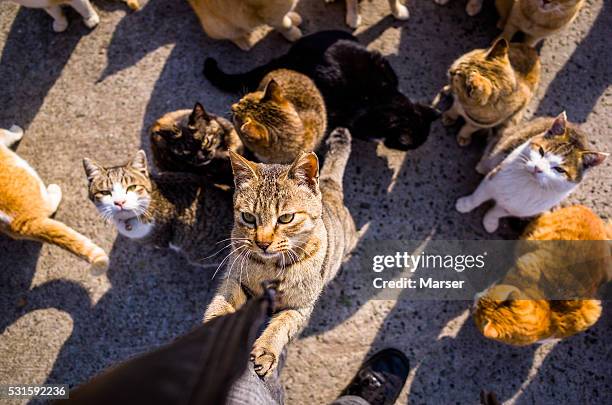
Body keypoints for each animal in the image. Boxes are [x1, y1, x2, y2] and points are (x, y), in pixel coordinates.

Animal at [0, 124, 109, 274]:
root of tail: (24, 221)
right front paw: (17, 130)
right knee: (50, 205)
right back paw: (54, 190)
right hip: (26, 170)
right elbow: (10, 134)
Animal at [206, 126, 358, 376]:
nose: (263, 242)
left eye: (286, 218)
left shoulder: (300, 306)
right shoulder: (236, 277)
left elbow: (281, 326)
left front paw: (266, 350)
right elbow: (222, 301)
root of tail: (328, 188)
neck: (270, 266)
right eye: (248, 217)